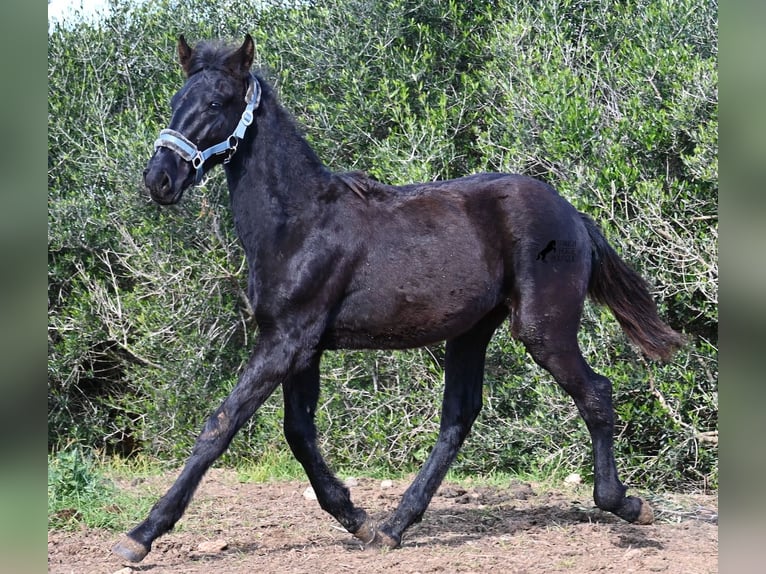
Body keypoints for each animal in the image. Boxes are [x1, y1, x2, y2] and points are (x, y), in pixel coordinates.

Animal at [117, 35, 688, 564]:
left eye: (217, 103)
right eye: (177, 99)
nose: (159, 179)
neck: (299, 223)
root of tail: (573, 214)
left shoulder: (286, 342)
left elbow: (220, 425)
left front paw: (141, 535)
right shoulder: (302, 346)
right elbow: (299, 433)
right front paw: (356, 519)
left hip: (543, 328)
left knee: (596, 392)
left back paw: (625, 503)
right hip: (471, 331)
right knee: (459, 417)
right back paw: (394, 525)